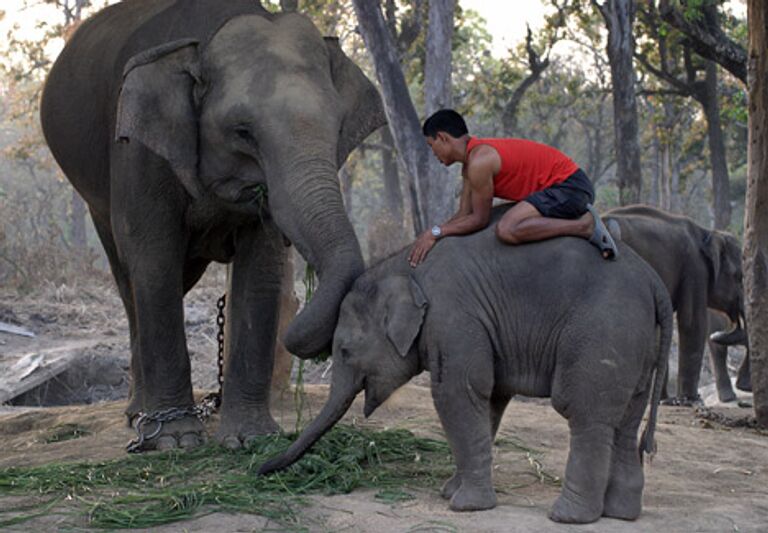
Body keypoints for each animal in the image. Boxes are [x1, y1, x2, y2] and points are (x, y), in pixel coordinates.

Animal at [38, 0, 384, 448]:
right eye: (242, 132)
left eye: (339, 127)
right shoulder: (139, 151)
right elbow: (155, 260)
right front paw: (177, 440)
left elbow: (261, 270)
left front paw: (250, 439)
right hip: (95, 191)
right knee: (129, 279)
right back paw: (139, 415)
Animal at [604, 206, 748, 406]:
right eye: (739, 277)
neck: (708, 233)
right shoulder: (695, 268)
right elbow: (692, 322)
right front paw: (690, 400)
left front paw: (665, 400)